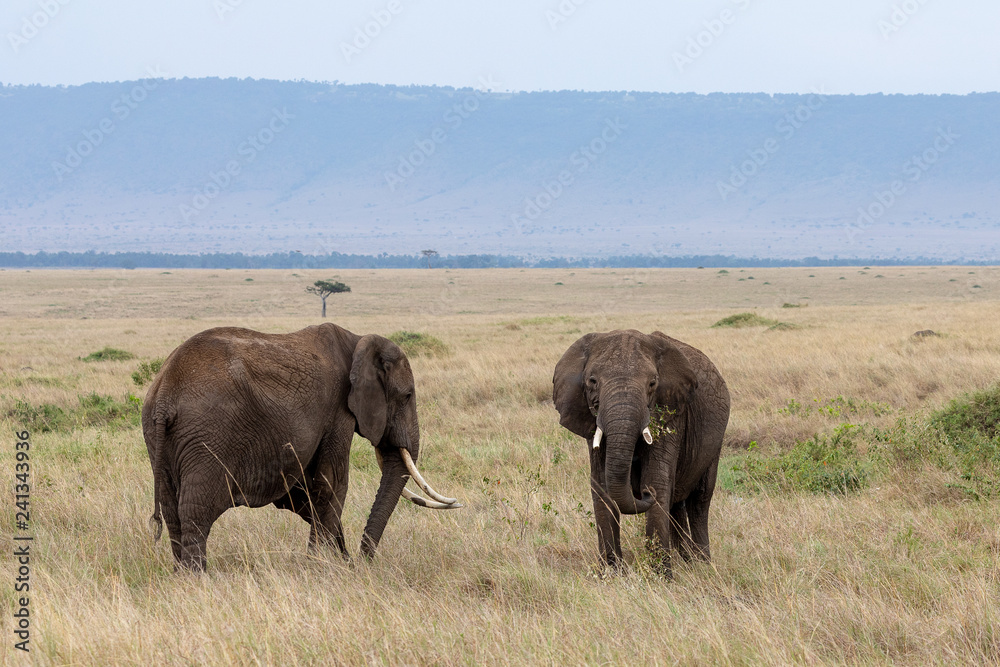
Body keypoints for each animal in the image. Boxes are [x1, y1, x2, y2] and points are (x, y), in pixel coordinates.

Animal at [142, 320, 460, 572]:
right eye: (407, 396)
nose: (362, 563)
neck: (357, 341)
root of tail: (164, 394)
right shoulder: (338, 412)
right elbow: (332, 484)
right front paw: (322, 568)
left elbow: (300, 495)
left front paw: (333, 562)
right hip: (208, 437)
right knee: (195, 511)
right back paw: (197, 578)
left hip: (160, 441)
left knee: (171, 511)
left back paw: (180, 575)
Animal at [552, 328, 732, 576]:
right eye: (592, 381)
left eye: (652, 383)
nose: (644, 494)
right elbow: (601, 485)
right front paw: (612, 574)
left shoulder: (671, 414)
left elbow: (656, 479)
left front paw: (661, 577)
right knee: (677, 502)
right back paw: (685, 559)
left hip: (715, 442)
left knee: (700, 499)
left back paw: (702, 564)